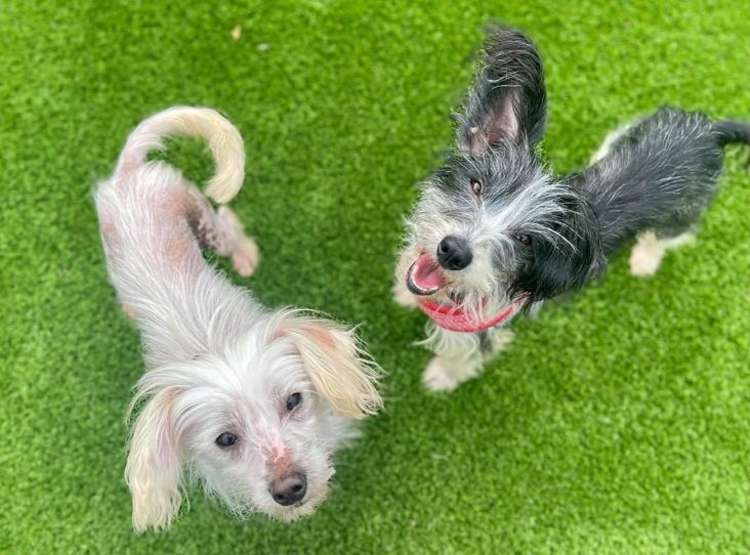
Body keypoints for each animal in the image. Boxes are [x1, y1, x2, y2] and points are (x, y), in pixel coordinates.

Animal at [95, 106, 382, 532]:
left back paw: (246, 256)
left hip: (198, 213)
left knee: (226, 222)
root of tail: (127, 171)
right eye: (225, 440)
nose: (290, 489)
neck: (211, 345)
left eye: (294, 400)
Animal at [394, 26, 750, 390]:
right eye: (476, 186)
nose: (453, 251)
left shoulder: (479, 330)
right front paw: (405, 291)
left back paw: (644, 260)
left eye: (525, 240)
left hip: (682, 211)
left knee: (673, 235)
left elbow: (461, 356)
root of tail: (711, 132)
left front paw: (441, 377)